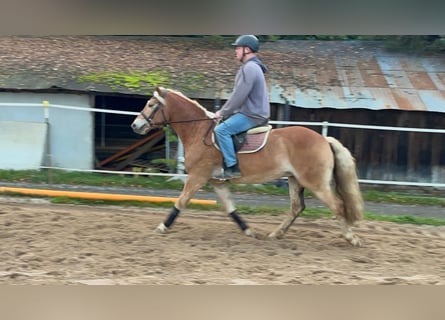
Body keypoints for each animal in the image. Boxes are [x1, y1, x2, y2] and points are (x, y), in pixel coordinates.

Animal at [130, 86, 362, 246]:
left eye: (151, 104)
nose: (135, 125)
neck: (199, 132)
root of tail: (324, 139)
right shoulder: (216, 181)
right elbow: (230, 208)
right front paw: (249, 231)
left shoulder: (197, 177)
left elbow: (181, 202)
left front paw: (162, 227)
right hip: (295, 180)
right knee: (297, 207)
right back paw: (276, 234)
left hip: (315, 183)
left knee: (338, 205)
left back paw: (351, 238)